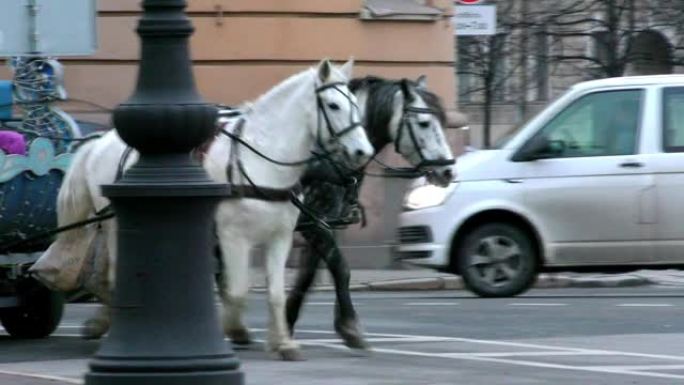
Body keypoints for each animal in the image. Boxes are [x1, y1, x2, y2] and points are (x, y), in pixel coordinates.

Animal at [32, 57, 374, 360]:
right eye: (333, 105)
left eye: (357, 106)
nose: (362, 151)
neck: (260, 159)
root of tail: (100, 141)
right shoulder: (233, 236)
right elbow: (237, 290)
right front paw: (231, 330)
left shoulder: (280, 236)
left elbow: (276, 292)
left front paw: (283, 343)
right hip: (119, 226)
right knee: (117, 276)